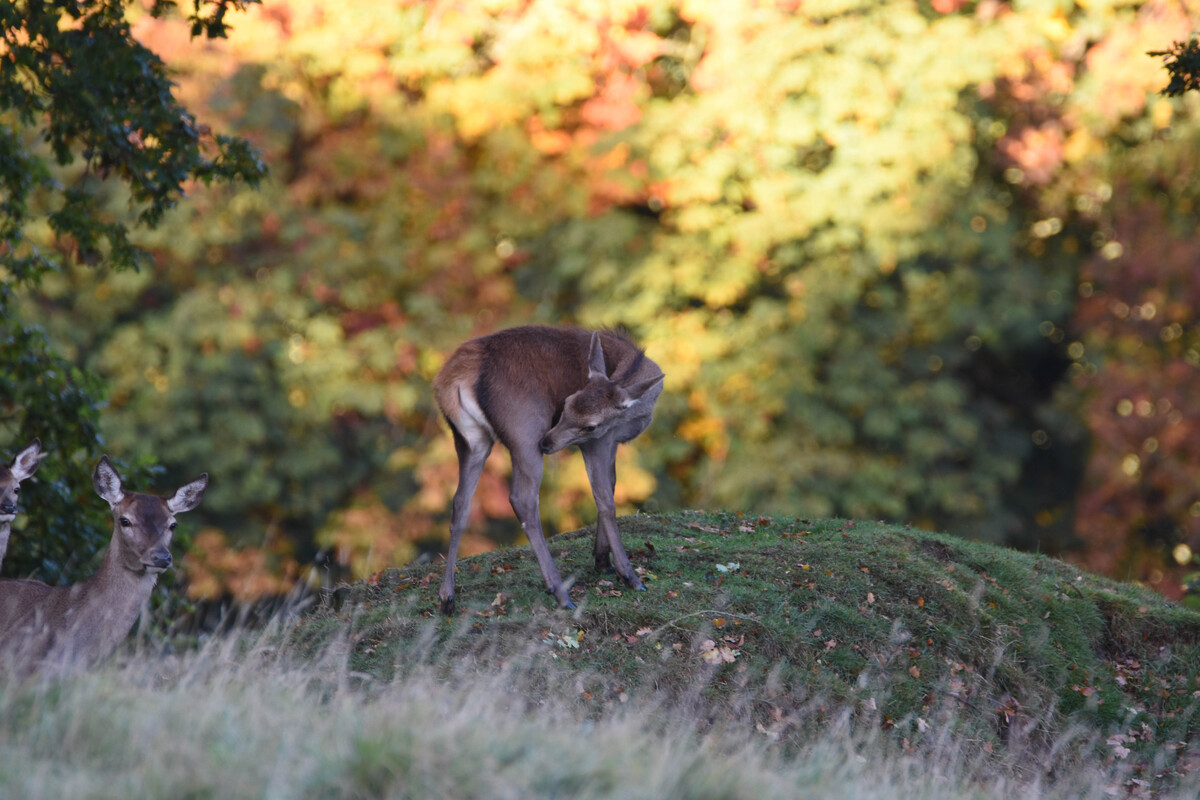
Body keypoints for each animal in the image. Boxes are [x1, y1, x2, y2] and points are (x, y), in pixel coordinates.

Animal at [432, 325, 664, 613]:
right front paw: (628, 575)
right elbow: (605, 499)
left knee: (460, 502)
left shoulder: (607, 440)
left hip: (470, 440)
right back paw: (561, 592)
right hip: (523, 430)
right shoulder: (598, 440)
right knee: (523, 499)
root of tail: (452, 380)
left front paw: (602, 559)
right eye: (565, 404)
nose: (547, 442)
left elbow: (610, 485)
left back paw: (447, 597)